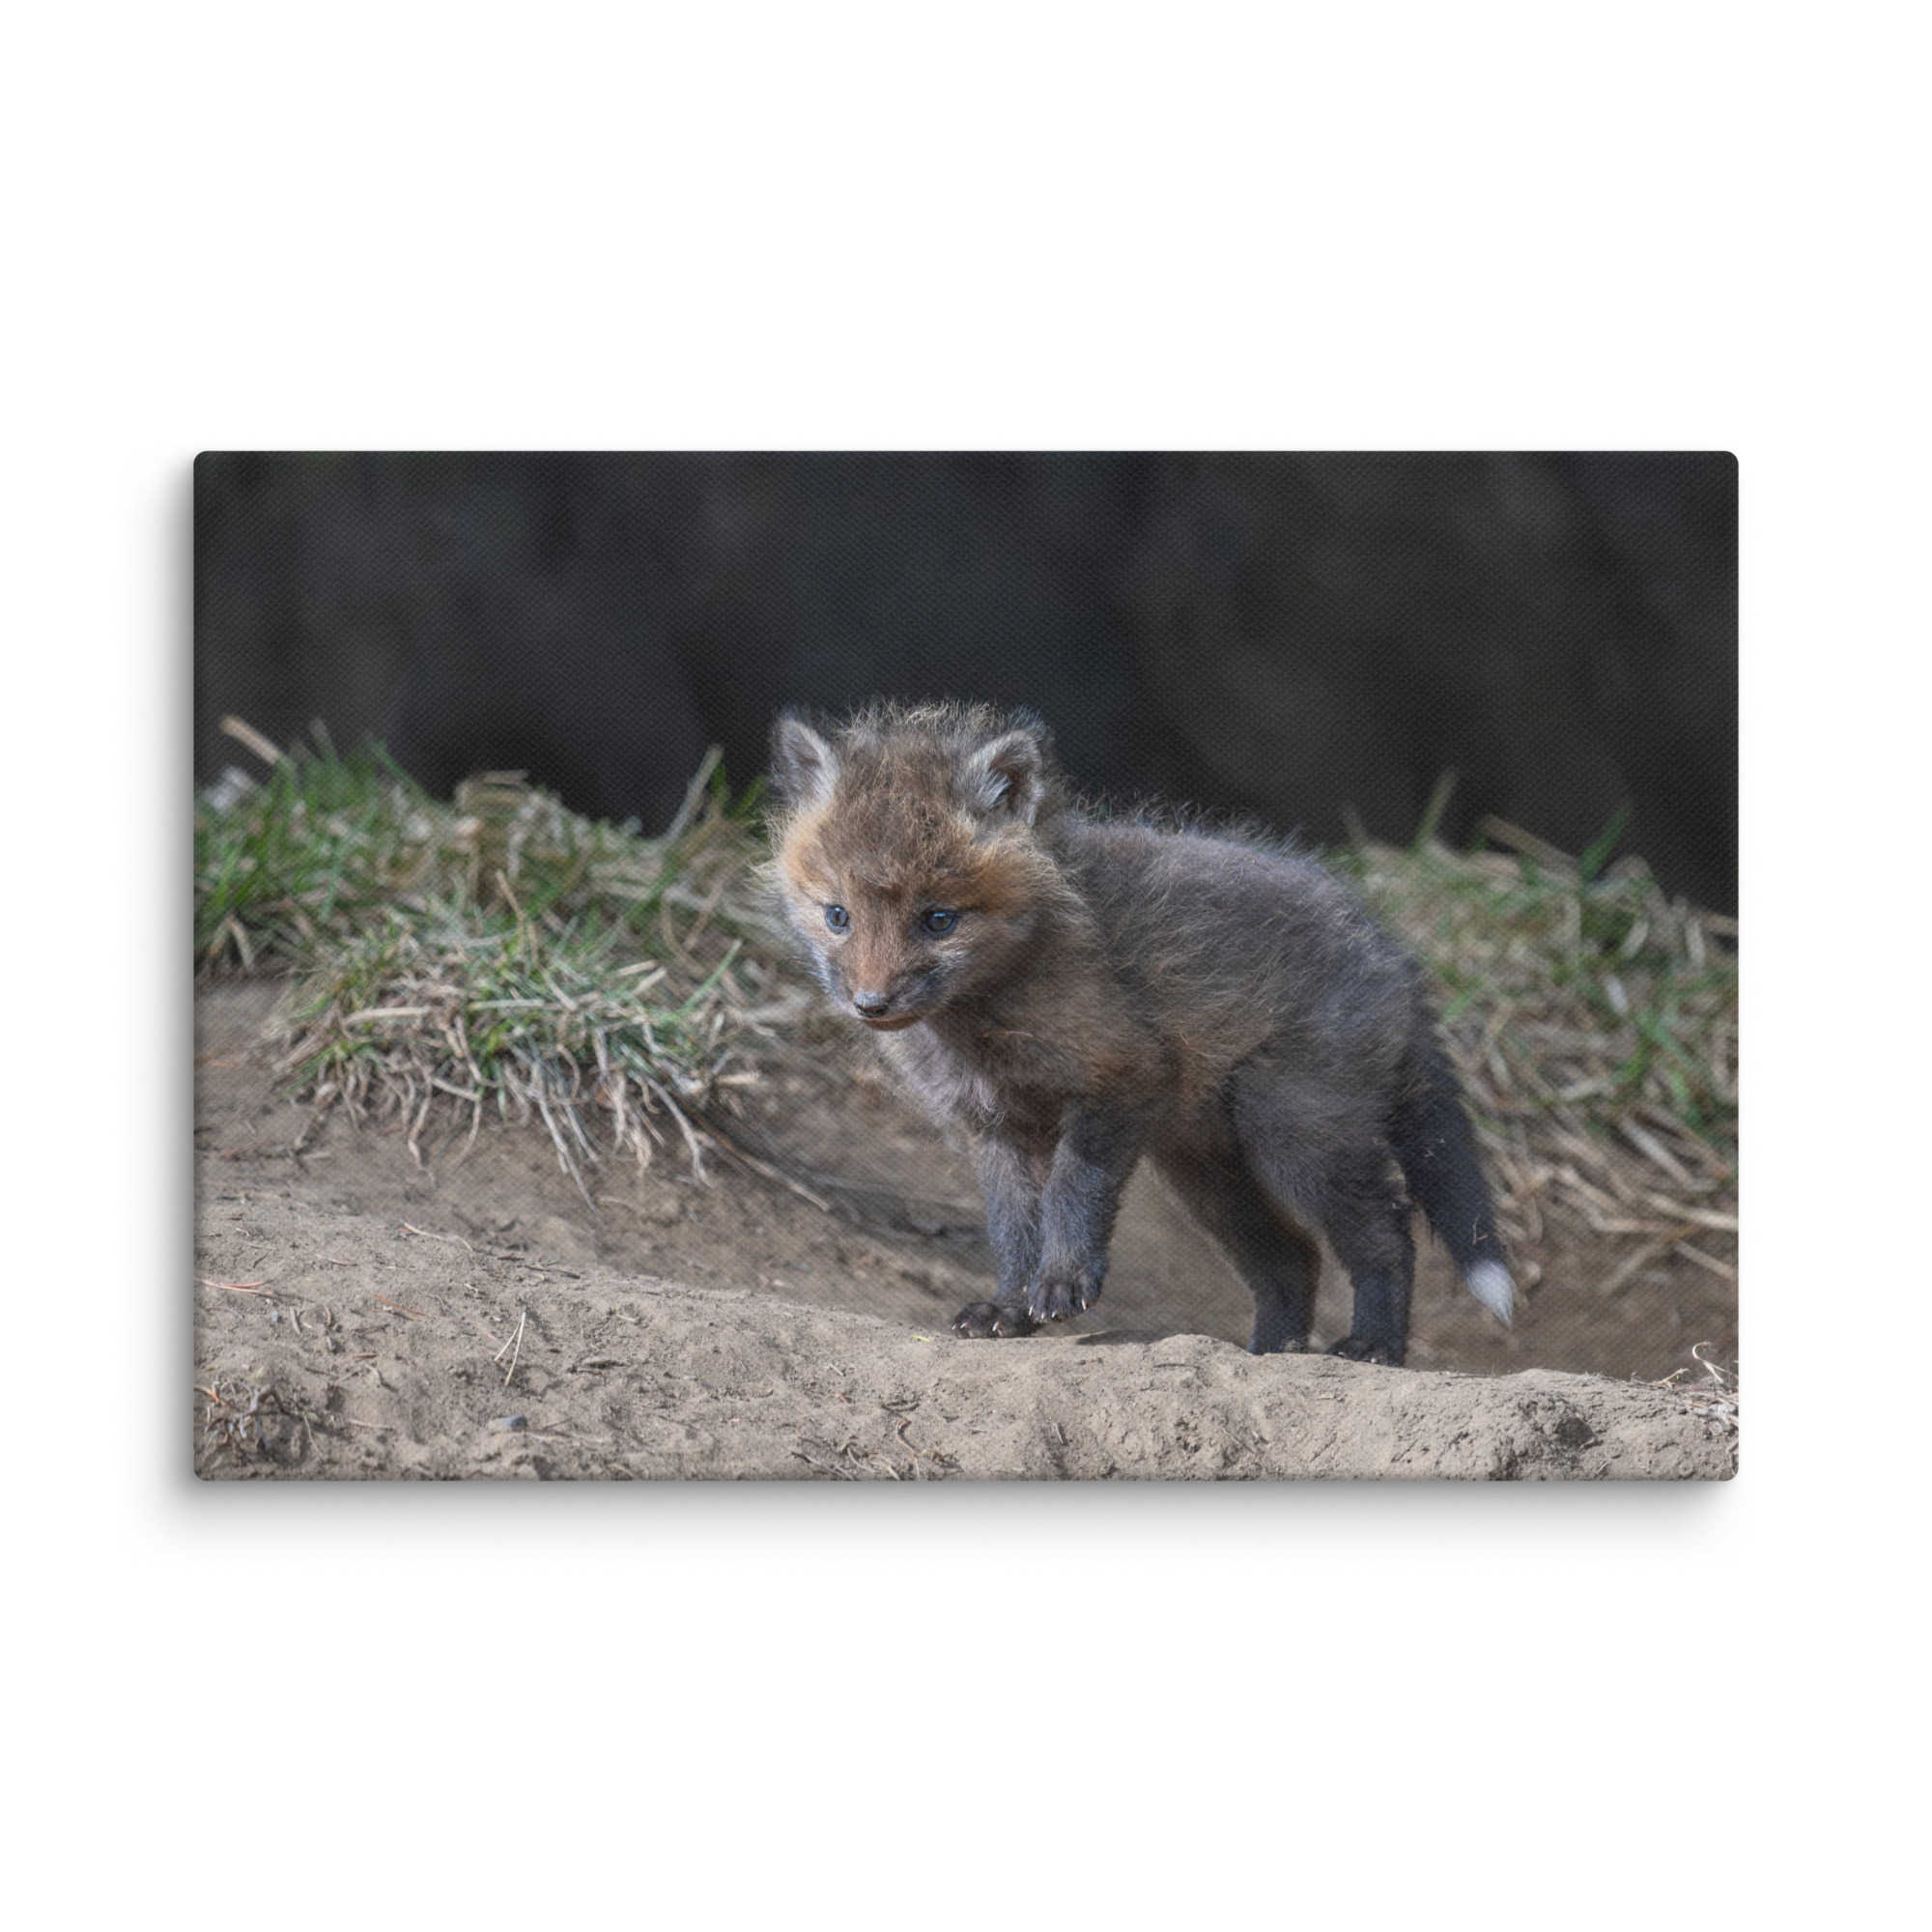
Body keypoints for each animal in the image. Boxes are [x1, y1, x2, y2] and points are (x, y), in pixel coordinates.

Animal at [767, 701, 1515, 1365]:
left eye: (938, 920)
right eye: (838, 916)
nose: (871, 1004)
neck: (982, 1028)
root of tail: (1392, 953)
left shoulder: (1120, 1075)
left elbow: (1073, 1193)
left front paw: (1063, 1283)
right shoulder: (994, 1126)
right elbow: (1012, 1229)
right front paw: (1009, 1308)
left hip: (1295, 1134)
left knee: (1387, 1233)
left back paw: (1373, 1346)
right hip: (1207, 1171)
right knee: (1293, 1258)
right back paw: (1269, 1352)